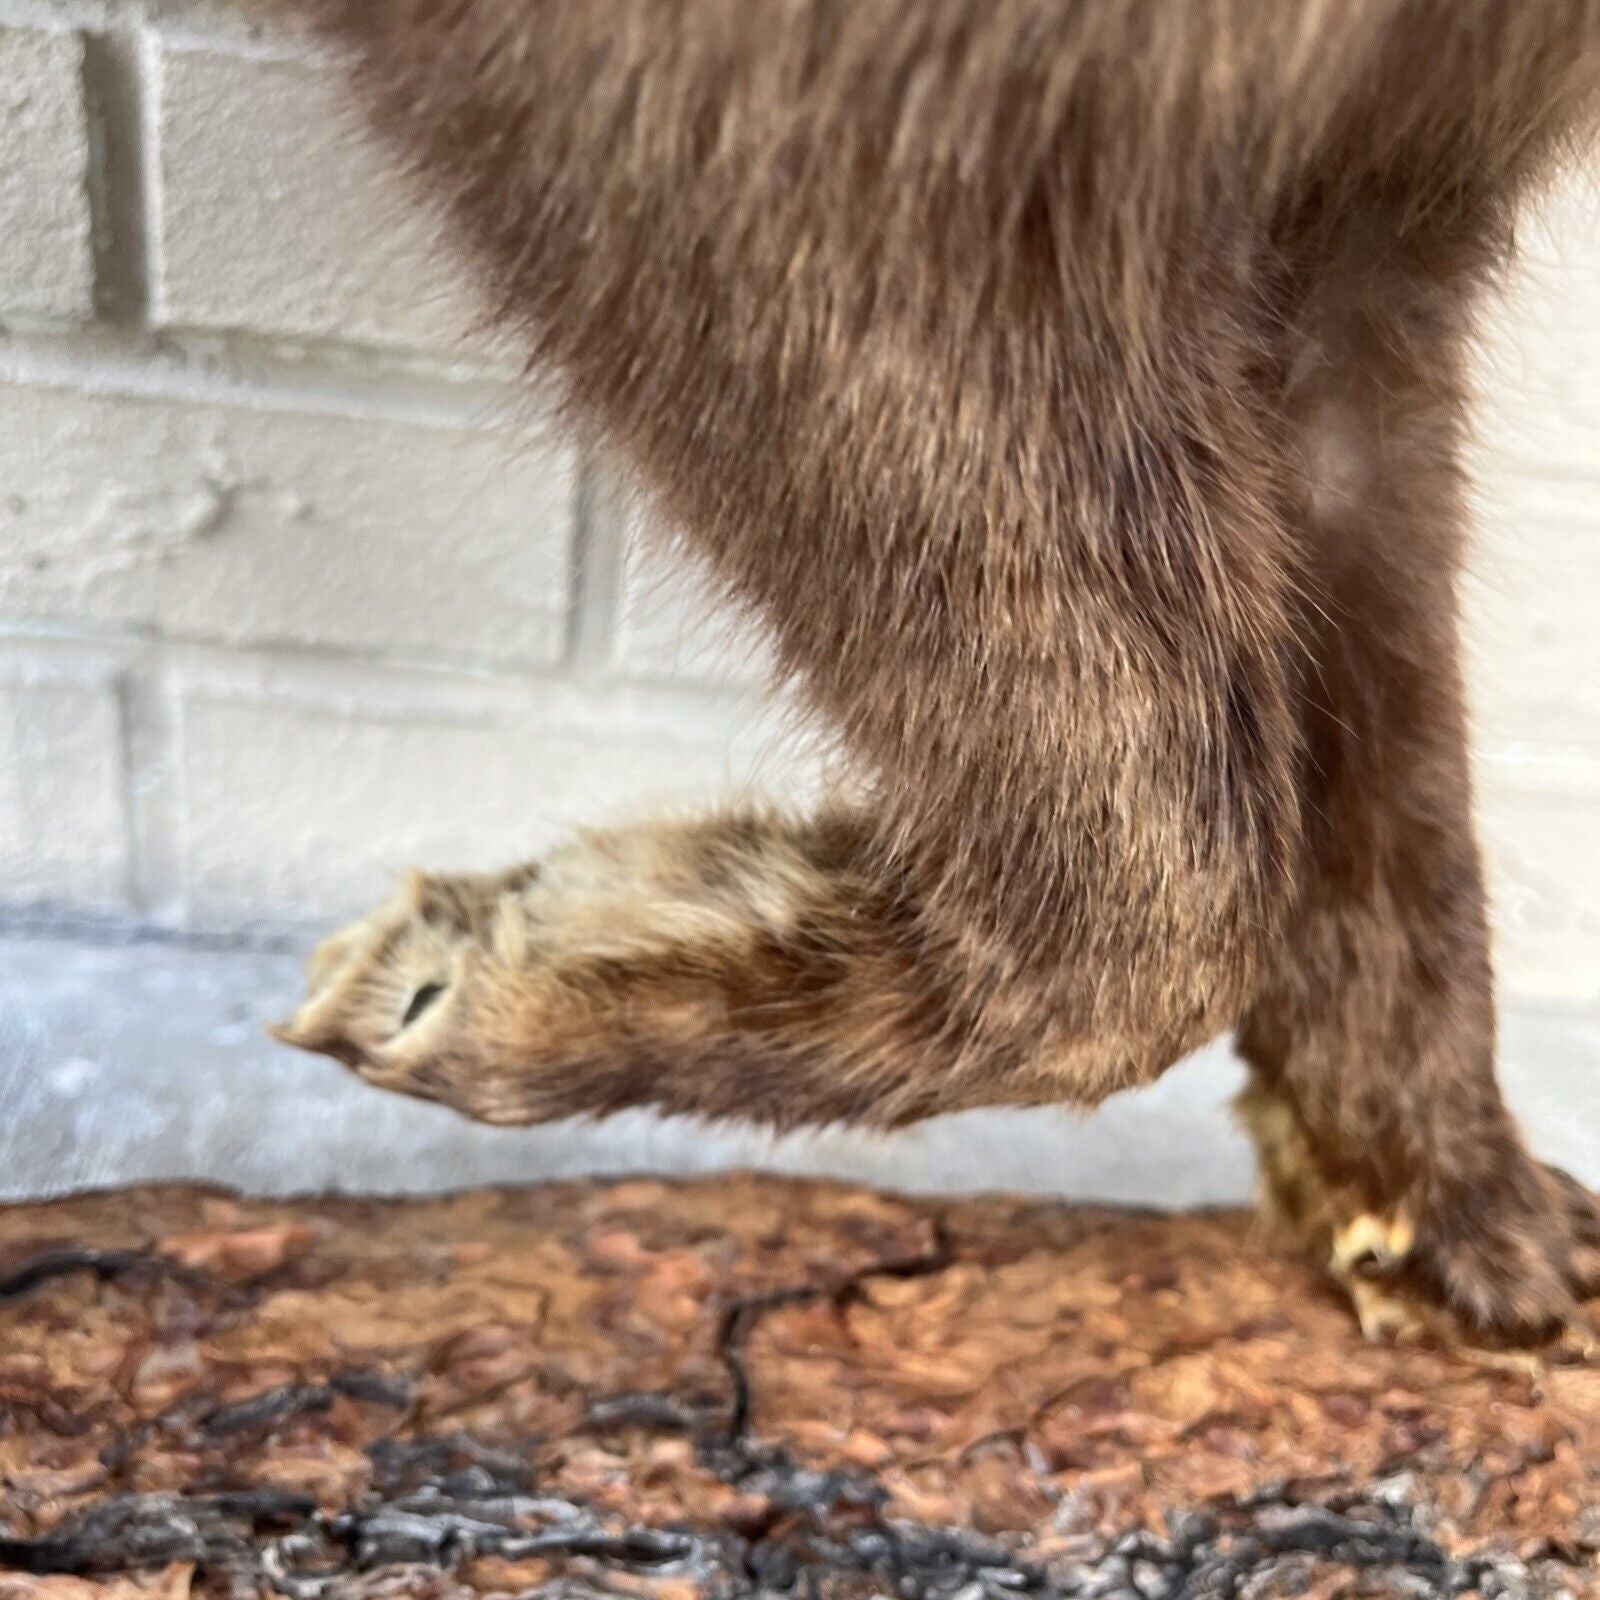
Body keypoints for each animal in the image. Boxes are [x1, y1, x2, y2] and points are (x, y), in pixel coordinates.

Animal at [270, 1, 1600, 1347]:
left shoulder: (1388, 202)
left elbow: (1388, 734)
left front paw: (1450, 1209)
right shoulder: (768, 112)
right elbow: (1161, 869)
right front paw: (502, 966)